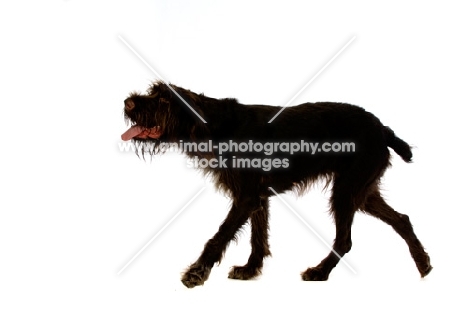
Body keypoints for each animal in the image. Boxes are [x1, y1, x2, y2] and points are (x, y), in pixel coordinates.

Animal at [120, 81, 432, 286]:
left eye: (164, 101)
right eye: (151, 93)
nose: (129, 102)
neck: (217, 126)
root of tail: (382, 128)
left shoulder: (246, 198)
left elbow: (219, 237)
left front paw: (196, 272)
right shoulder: (258, 197)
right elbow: (258, 238)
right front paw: (250, 269)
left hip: (346, 192)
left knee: (345, 240)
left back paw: (320, 272)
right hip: (362, 192)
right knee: (402, 219)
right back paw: (423, 264)